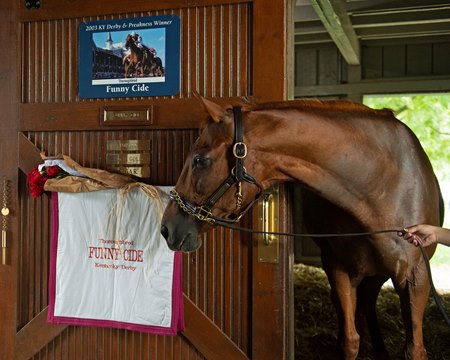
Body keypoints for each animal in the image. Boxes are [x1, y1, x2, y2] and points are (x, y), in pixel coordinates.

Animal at [162, 94, 440, 358]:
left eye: (199, 160)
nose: (166, 228)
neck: (381, 185)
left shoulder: (416, 279)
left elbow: (414, 349)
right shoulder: (339, 269)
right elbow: (350, 342)